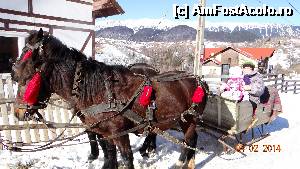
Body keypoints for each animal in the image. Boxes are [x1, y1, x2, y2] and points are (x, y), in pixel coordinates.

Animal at [12, 29, 209, 169]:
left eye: (26, 78)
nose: (18, 112)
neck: (97, 90)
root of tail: (199, 80)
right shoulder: (105, 133)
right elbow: (109, 156)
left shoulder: (119, 133)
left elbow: (126, 158)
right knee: (190, 139)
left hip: (190, 119)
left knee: (188, 140)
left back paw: (178, 161)